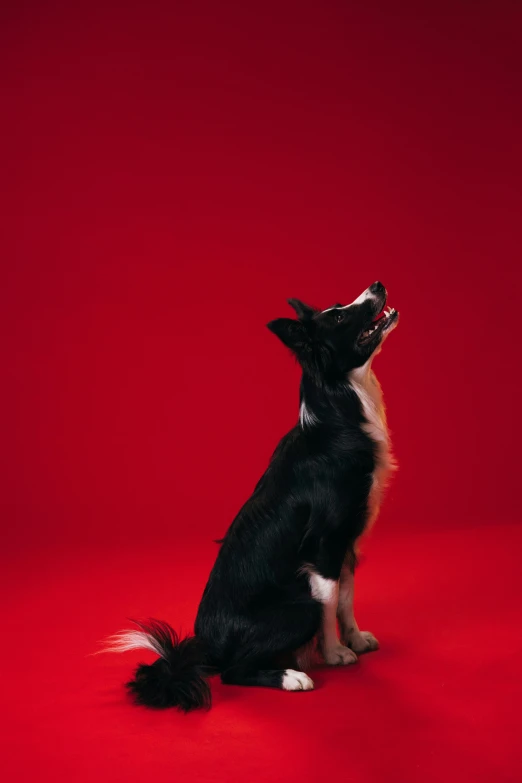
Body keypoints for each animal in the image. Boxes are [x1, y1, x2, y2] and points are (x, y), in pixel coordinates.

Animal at [104, 280, 398, 712]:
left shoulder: (348, 542)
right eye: (340, 316)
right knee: (233, 672)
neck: (341, 409)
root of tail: (206, 650)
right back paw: (292, 676)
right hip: (297, 608)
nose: (377, 284)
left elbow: (346, 597)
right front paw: (335, 653)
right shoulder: (324, 545)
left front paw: (356, 639)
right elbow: (330, 603)